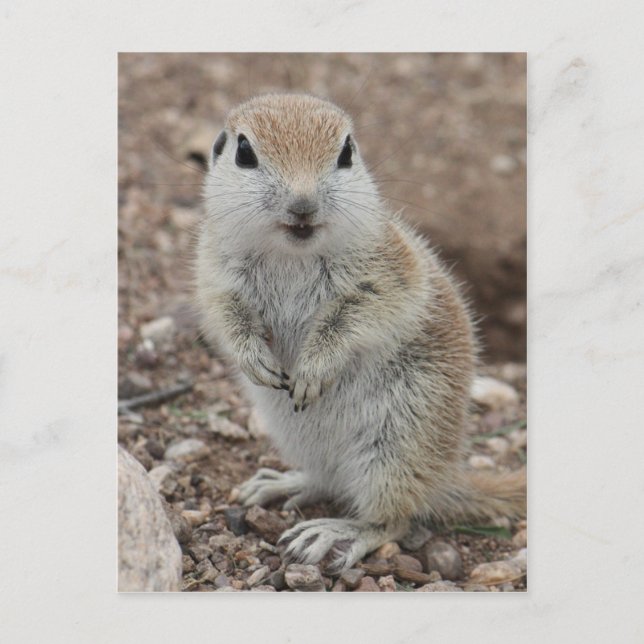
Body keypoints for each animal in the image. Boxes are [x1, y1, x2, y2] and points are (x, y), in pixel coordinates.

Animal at [196, 93, 525, 574]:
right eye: (244, 153)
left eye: (346, 152)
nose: (303, 204)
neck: (292, 253)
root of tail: (445, 477)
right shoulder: (215, 276)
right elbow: (225, 315)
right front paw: (254, 359)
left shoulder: (390, 275)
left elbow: (354, 317)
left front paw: (314, 369)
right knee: (329, 480)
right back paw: (280, 484)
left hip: (394, 449)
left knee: (393, 520)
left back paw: (332, 533)